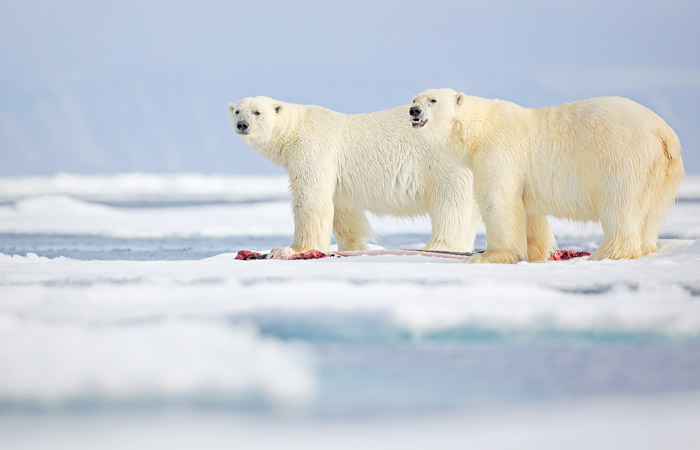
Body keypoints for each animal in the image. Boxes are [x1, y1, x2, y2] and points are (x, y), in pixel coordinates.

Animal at [227, 95, 478, 253]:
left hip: (444, 163)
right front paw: (353, 247)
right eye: (237, 111)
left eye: (257, 112)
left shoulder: (313, 150)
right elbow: (343, 209)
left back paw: (436, 246)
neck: (297, 129)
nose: (242, 125)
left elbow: (310, 200)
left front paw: (298, 248)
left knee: (451, 204)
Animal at [410, 88, 684, 264]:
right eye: (414, 98)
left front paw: (487, 256)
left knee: (619, 204)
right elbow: (529, 211)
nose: (414, 111)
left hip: (621, 157)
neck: (481, 128)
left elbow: (498, 200)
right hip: (661, 172)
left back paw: (605, 254)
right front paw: (535, 254)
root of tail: (663, 133)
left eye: (433, 100)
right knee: (650, 214)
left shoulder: (499, 150)